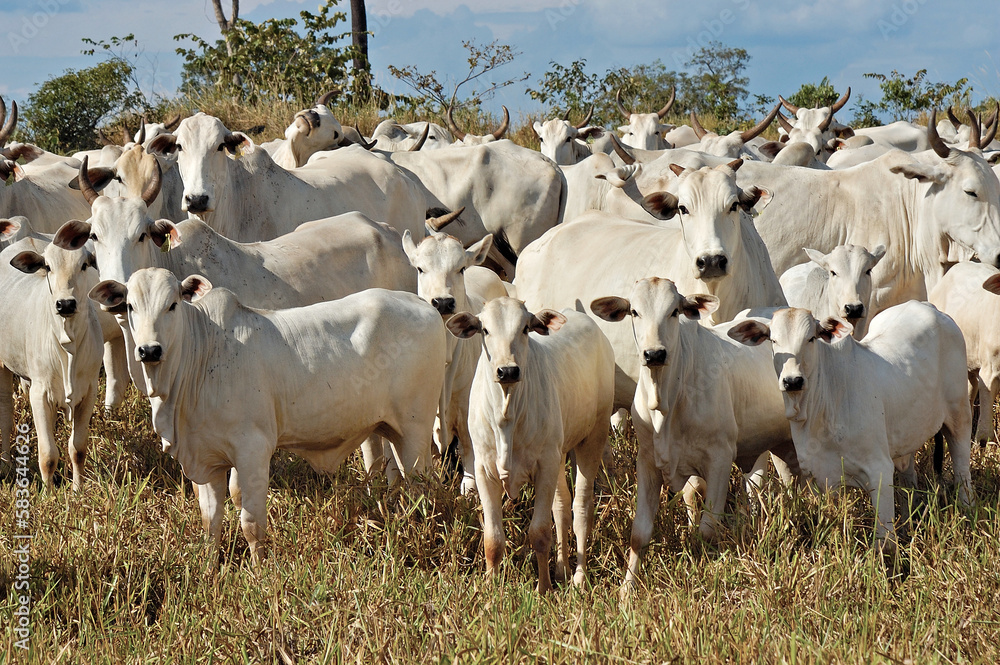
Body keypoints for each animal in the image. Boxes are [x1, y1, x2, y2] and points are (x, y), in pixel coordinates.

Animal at [0, 235, 103, 490]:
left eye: (84, 265)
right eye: (47, 267)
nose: (65, 304)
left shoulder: (89, 392)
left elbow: (78, 449)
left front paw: (77, 489)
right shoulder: (39, 393)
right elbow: (48, 455)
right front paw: (48, 493)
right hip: (2, 366)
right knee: (5, 415)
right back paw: (6, 465)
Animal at [89, 269, 447, 560]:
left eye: (172, 305)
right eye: (130, 306)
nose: (149, 350)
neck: (201, 354)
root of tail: (424, 305)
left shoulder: (253, 451)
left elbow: (251, 523)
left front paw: (259, 571)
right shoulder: (206, 460)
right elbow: (210, 523)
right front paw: (208, 569)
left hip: (416, 433)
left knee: (424, 489)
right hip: (392, 431)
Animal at [446, 299, 614, 591]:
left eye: (525, 328)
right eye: (485, 330)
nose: (508, 370)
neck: (507, 413)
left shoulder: (544, 466)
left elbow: (539, 532)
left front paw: (543, 588)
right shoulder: (483, 470)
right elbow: (492, 538)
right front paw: (490, 586)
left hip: (592, 438)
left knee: (581, 508)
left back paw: (579, 577)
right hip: (559, 453)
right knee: (562, 507)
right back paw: (562, 569)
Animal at [590, 278, 799, 595]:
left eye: (675, 311)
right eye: (634, 311)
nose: (654, 354)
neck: (667, 402)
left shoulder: (719, 460)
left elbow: (707, 529)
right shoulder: (647, 461)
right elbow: (639, 533)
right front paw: (627, 589)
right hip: (775, 446)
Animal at [729, 302, 974, 552]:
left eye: (811, 338)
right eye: (773, 340)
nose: (792, 381)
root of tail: (928, 306)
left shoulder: (879, 470)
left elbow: (884, 542)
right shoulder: (821, 476)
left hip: (960, 416)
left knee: (962, 469)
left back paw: (968, 511)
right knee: (908, 478)